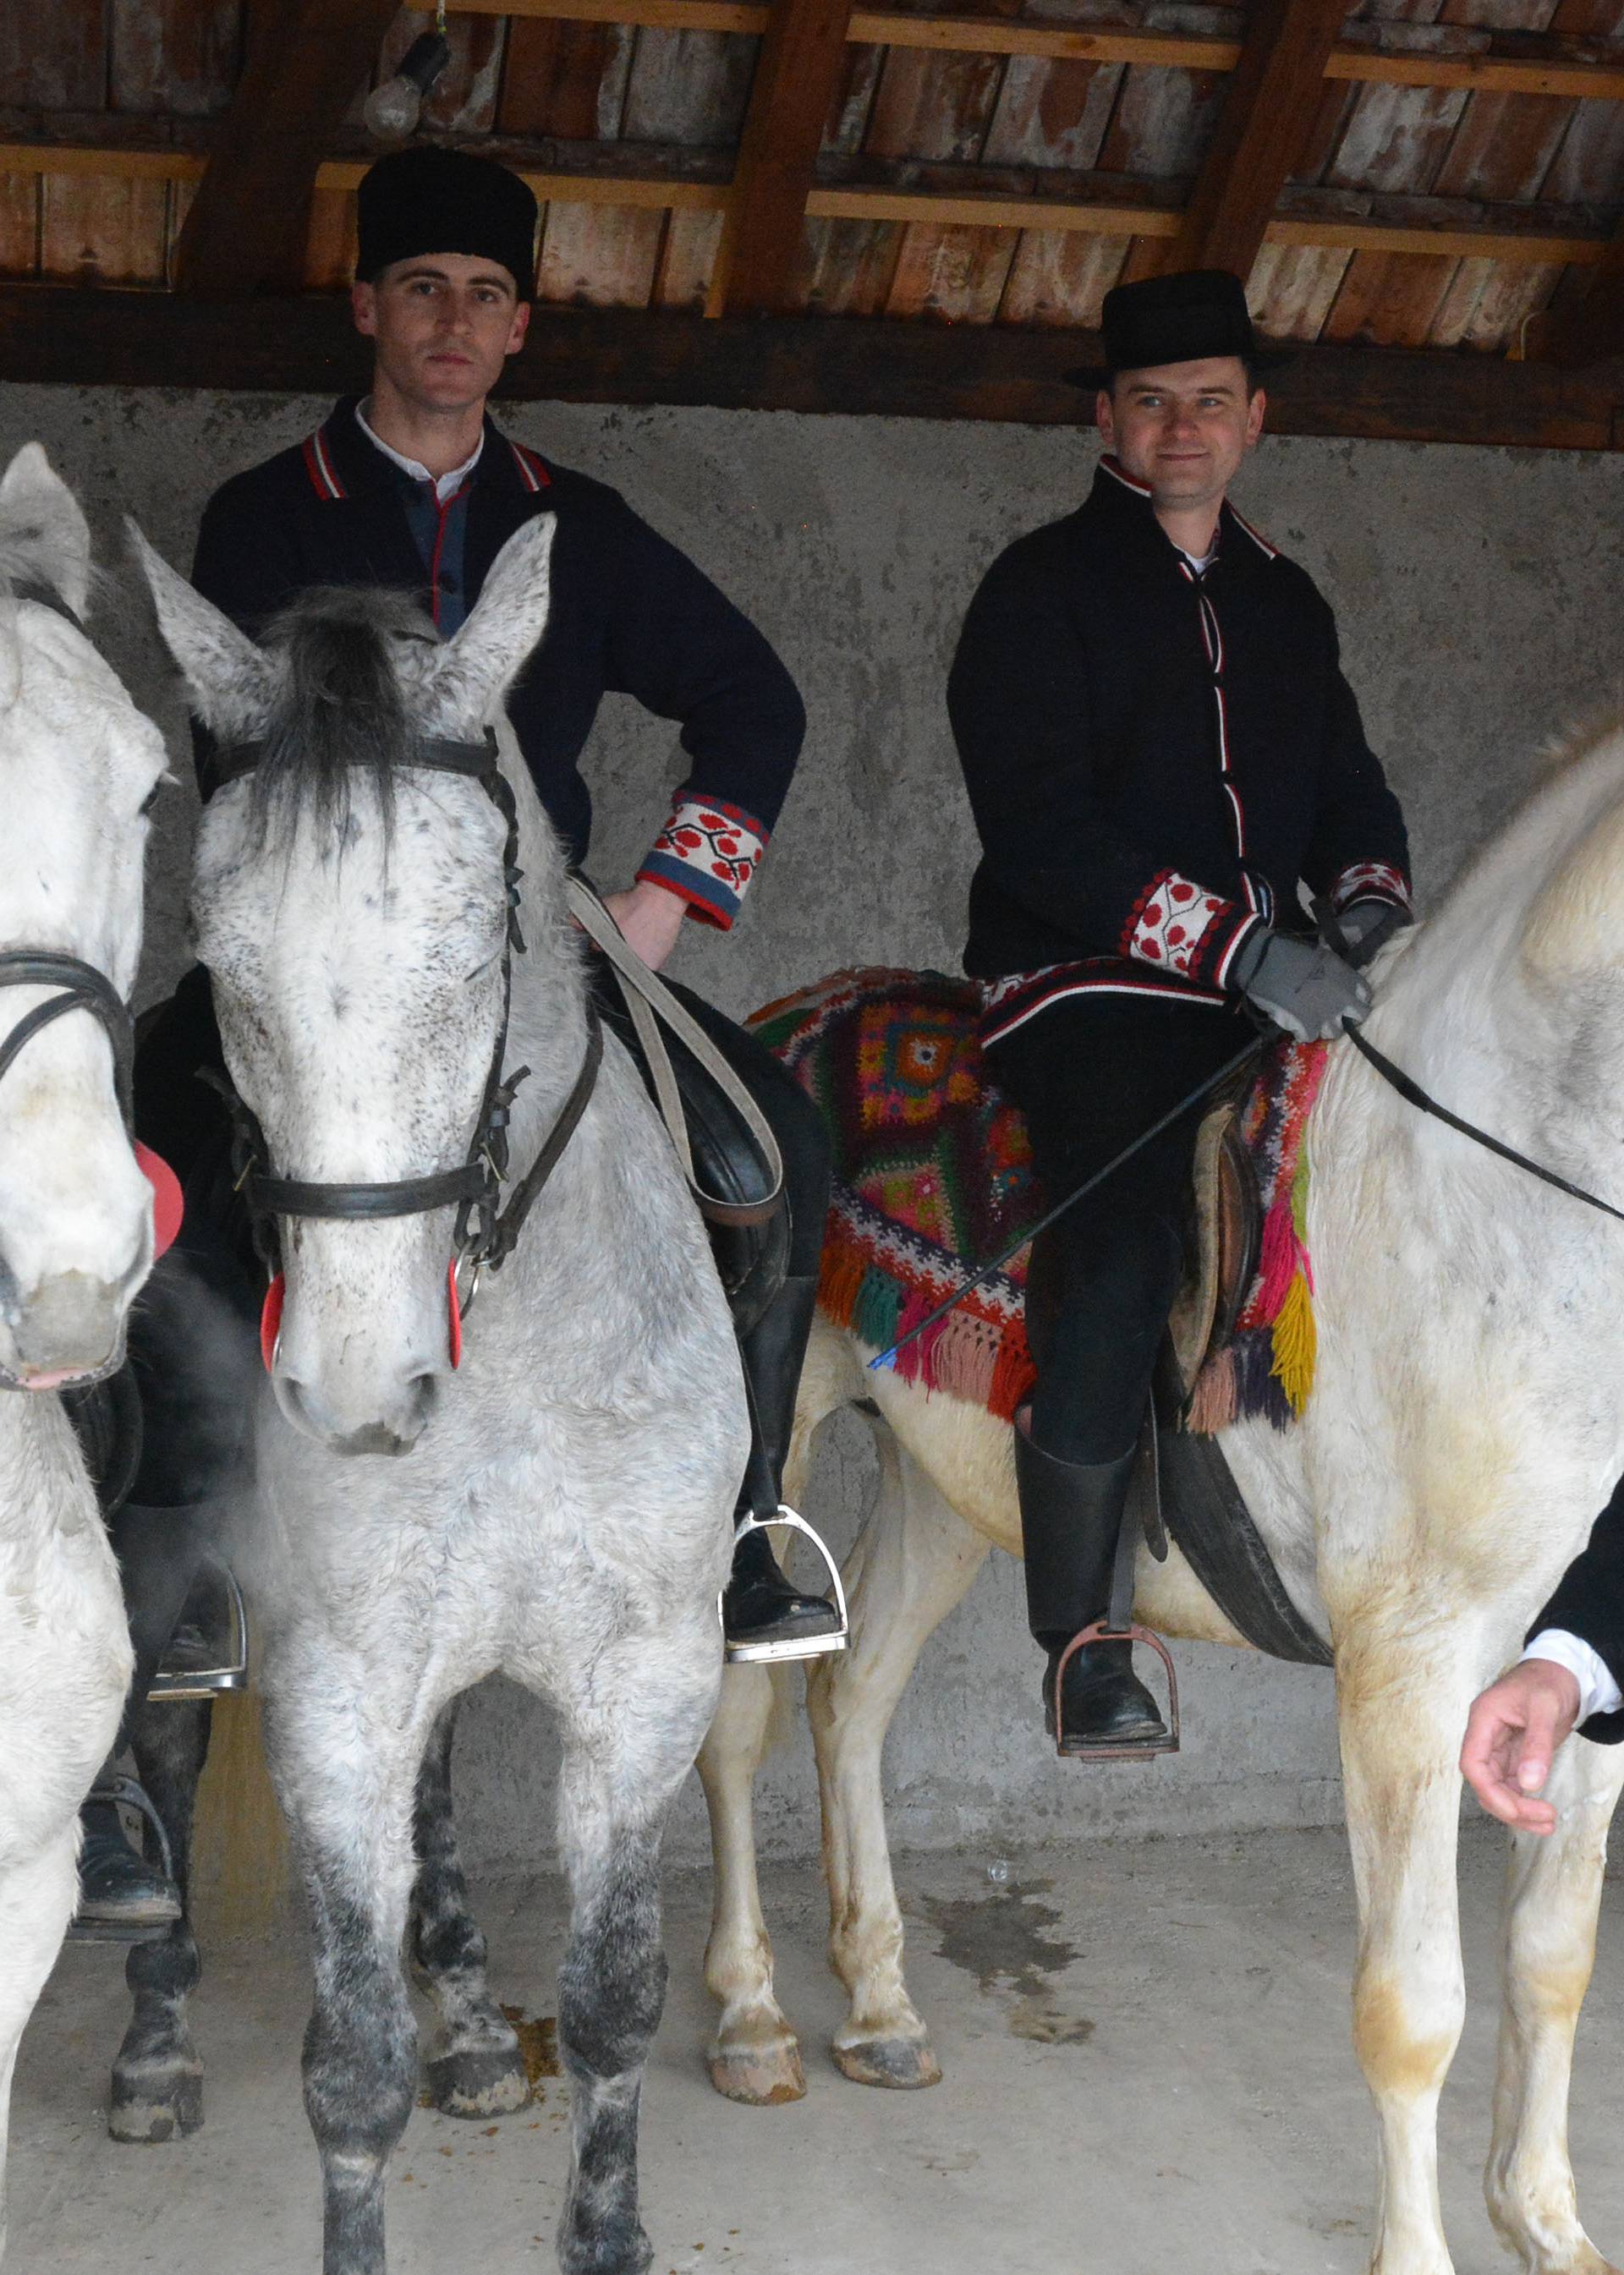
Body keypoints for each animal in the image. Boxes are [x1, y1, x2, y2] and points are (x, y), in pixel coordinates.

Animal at [135, 516, 741, 2275]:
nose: (355, 1388)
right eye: (225, 968)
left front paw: (603, 2227)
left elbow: (612, 2007)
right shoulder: (337, 1690)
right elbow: (351, 2068)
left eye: (479, 953)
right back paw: (154, 2041)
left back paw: (474, 2018)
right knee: (164, 1755)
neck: (517, 1355)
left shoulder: (647, 1684)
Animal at [700, 719, 1624, 2275]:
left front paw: (1546, 2221)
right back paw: (755, 2014)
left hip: (947, 1487)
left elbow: (1551, 1963)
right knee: (739, 1726)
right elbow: (1412, 2007)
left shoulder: (1585, 1669)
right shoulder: (1406, 1671)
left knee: (854, 1699)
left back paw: (879, 2006)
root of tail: (776, 1026)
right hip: (773, 1463)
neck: (1489, 1199)